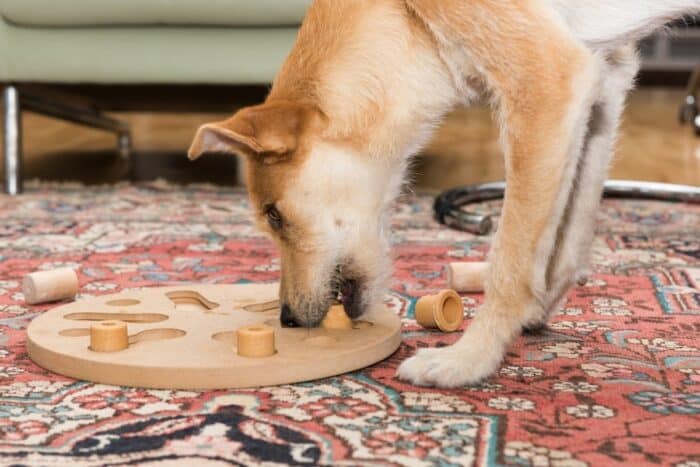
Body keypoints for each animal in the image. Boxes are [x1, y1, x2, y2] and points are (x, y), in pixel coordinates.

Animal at [187, 0, 700, 388]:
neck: (402, 16)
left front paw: (470, 359)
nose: (287, 319)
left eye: (274, 215)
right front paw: (538, 309)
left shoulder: (546, 81)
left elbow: (510, 264)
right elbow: (567, 236)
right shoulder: (603, 83)